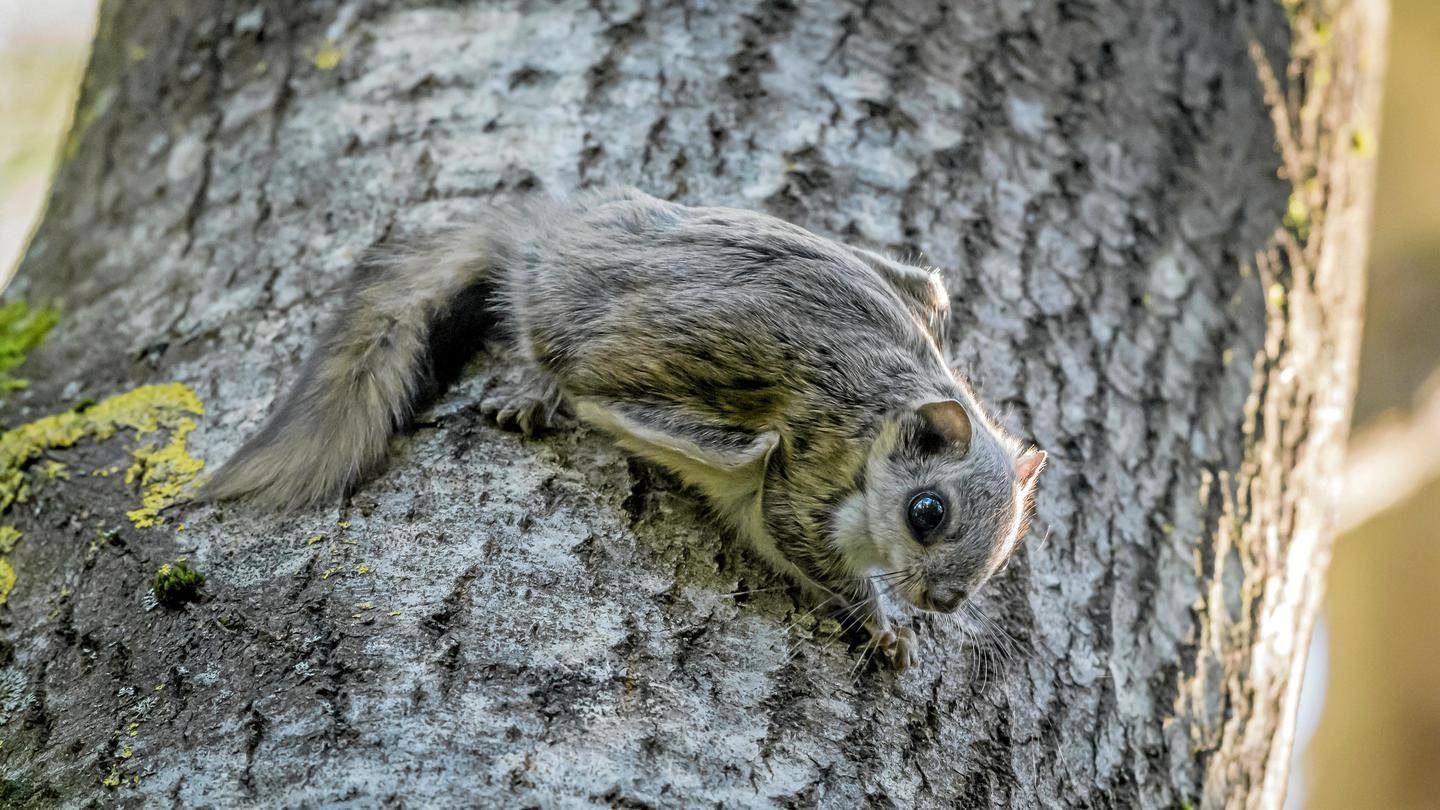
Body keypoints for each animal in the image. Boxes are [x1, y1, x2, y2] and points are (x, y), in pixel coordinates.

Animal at [203, 187, 1042, 668]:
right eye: (928, 512)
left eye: (1007, 547)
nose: (944, 602)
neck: (881, 419)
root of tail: (542, 245)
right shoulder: (807, 470)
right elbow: (803, 545)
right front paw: (882, 623)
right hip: (577, 332)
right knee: (543, 342)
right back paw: (536, 384)